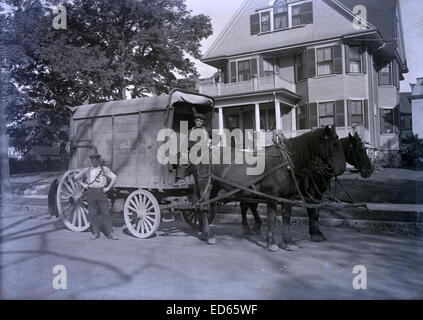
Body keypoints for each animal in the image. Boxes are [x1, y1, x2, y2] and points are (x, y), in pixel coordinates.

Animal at [192, 124, 348, 251]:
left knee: (207, 207)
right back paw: (208, 235)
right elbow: (272, 218)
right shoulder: (272, 196)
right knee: (204, 207)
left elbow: (286, 218)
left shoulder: (288, 197)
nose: (342, 168)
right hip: (206, 185)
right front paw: (271, 242)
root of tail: (205, 153)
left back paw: (204, 232)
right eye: (334, 144)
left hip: (215, 187)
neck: (286, 163)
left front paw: (288, 242)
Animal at [242, 131, 374, 249]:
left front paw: (317, 231)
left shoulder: (318, 195)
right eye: (358, 149)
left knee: (249, 205)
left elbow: (317, 212)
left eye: (365, 149)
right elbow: (312, 212)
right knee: (246, 206)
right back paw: (248, 227)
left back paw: (255, 226)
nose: (369, 171)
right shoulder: (311, 193)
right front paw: (315, 234)